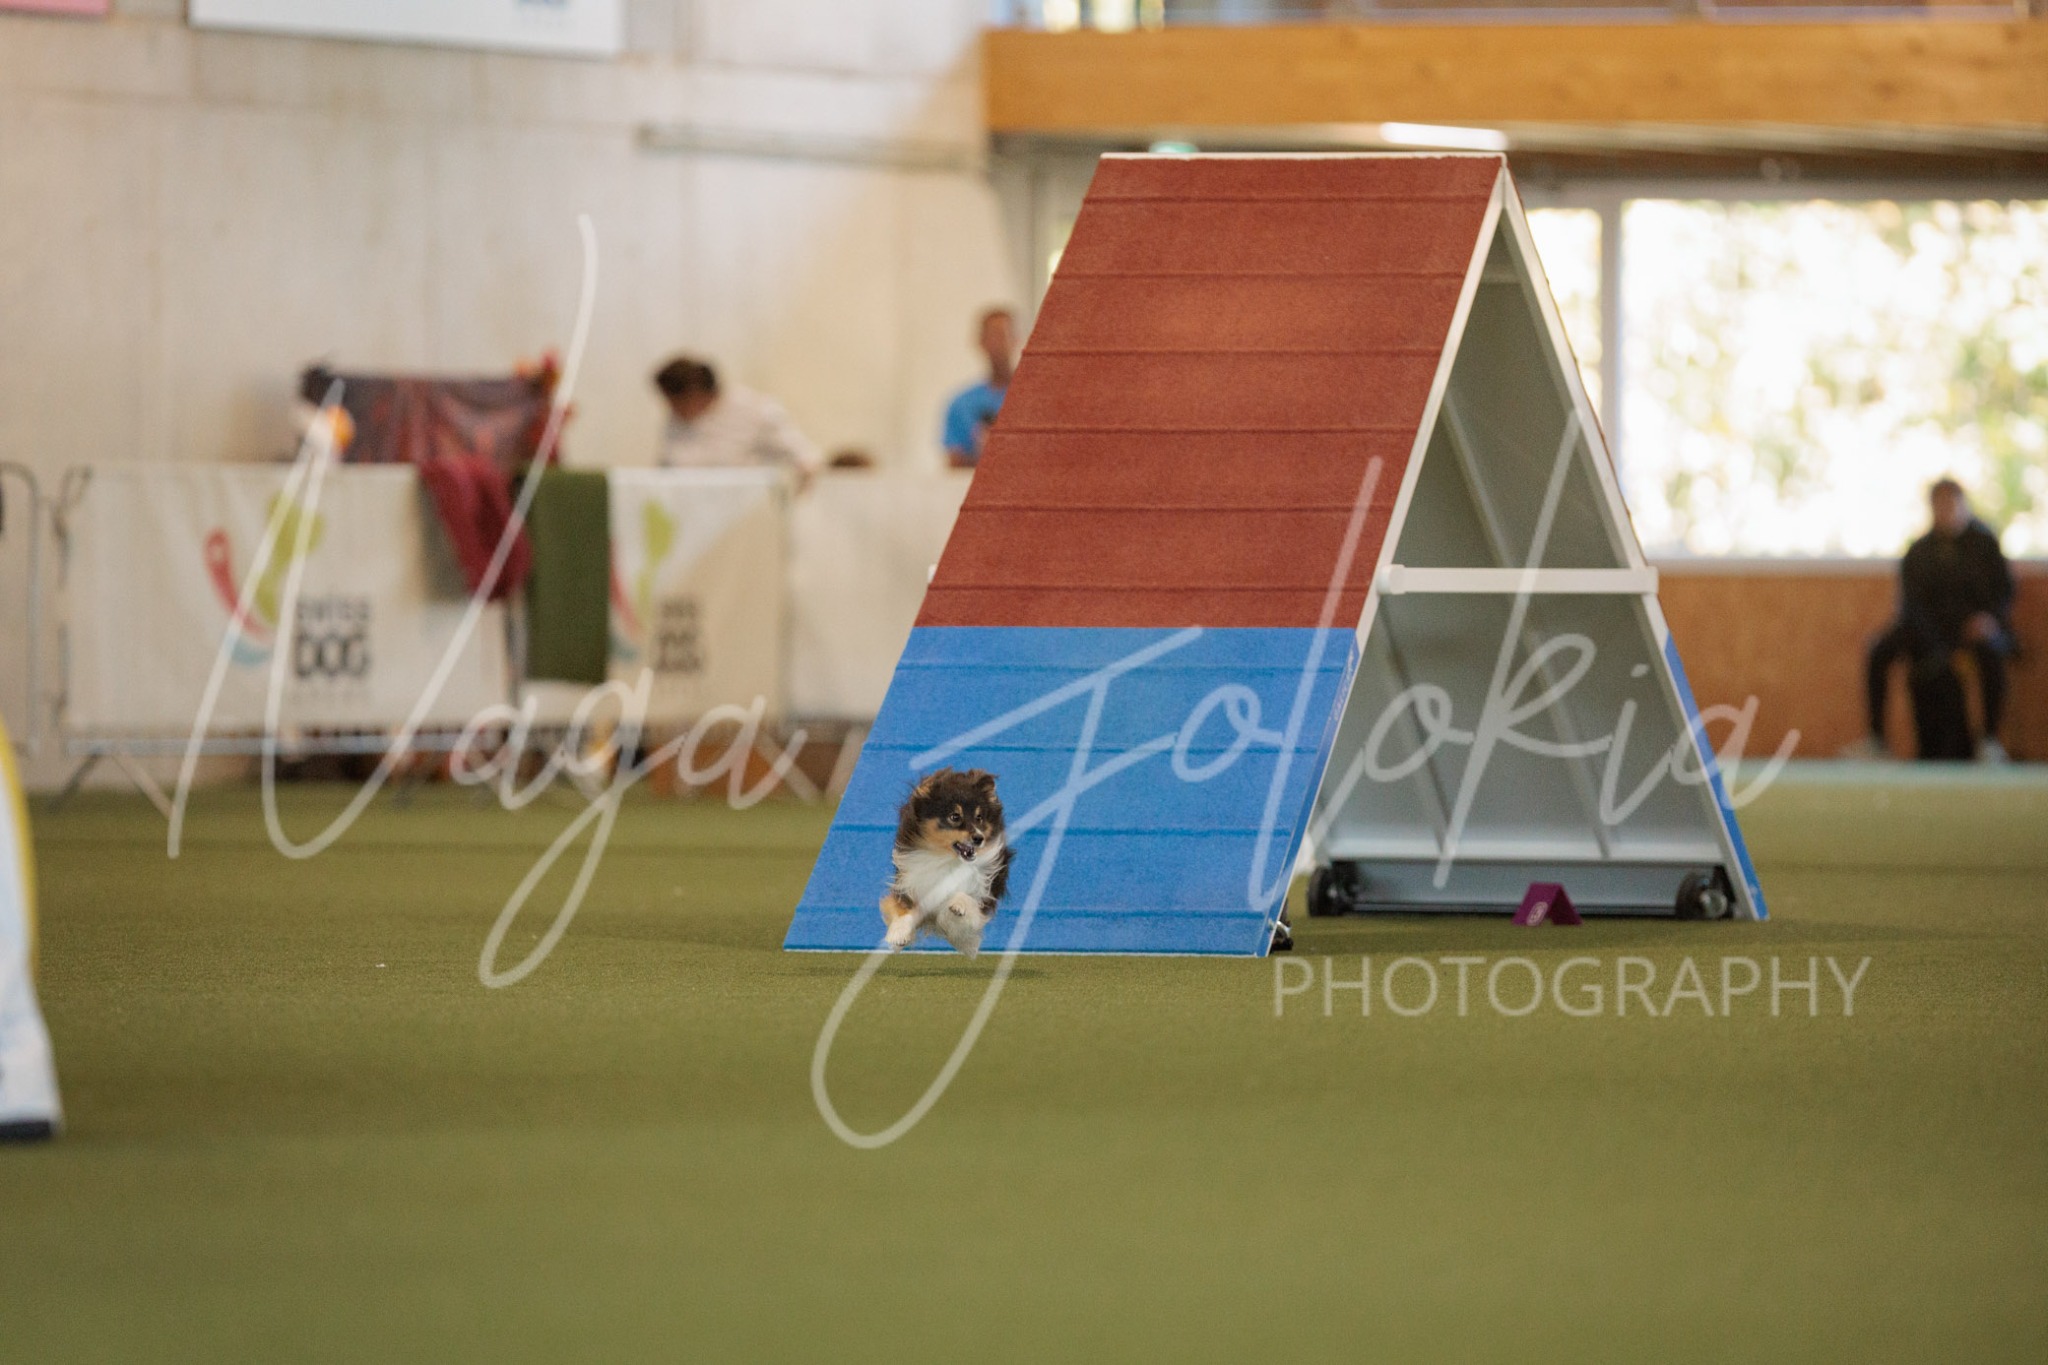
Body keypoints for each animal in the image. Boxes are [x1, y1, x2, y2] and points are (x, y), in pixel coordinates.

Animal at [880, 768, 1013, 956]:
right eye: (955, 816)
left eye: (979, 817)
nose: (979, 838)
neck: (946, 859)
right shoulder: (910, 884)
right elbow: (902, 909)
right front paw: (898, 934)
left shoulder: (983, 894)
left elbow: (966, 903)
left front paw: (957, 905)